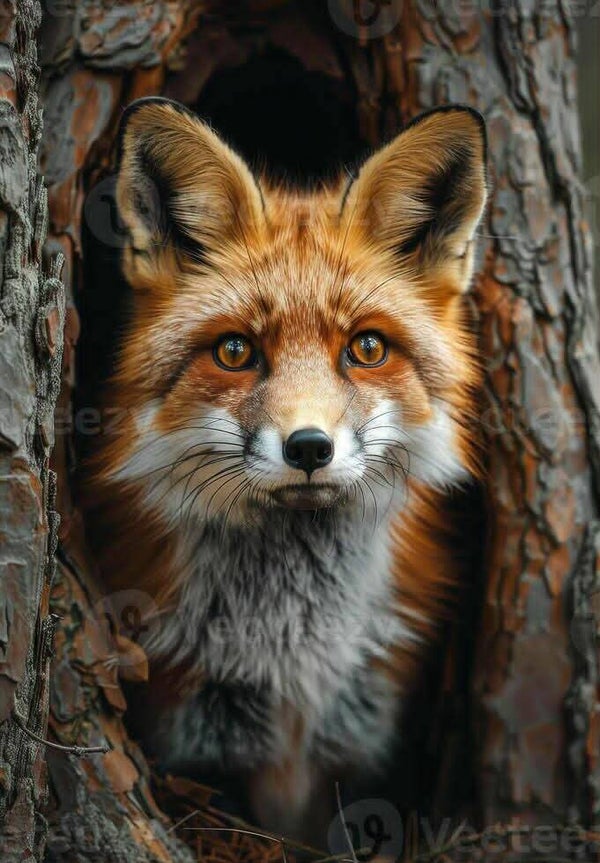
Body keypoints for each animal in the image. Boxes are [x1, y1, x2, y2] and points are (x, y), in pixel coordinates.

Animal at [81, 97, 487, 839]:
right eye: (235, 350)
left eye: (367, 348)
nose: (307, 448)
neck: (294, 648)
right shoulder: (199, 750)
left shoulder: (358, 746)